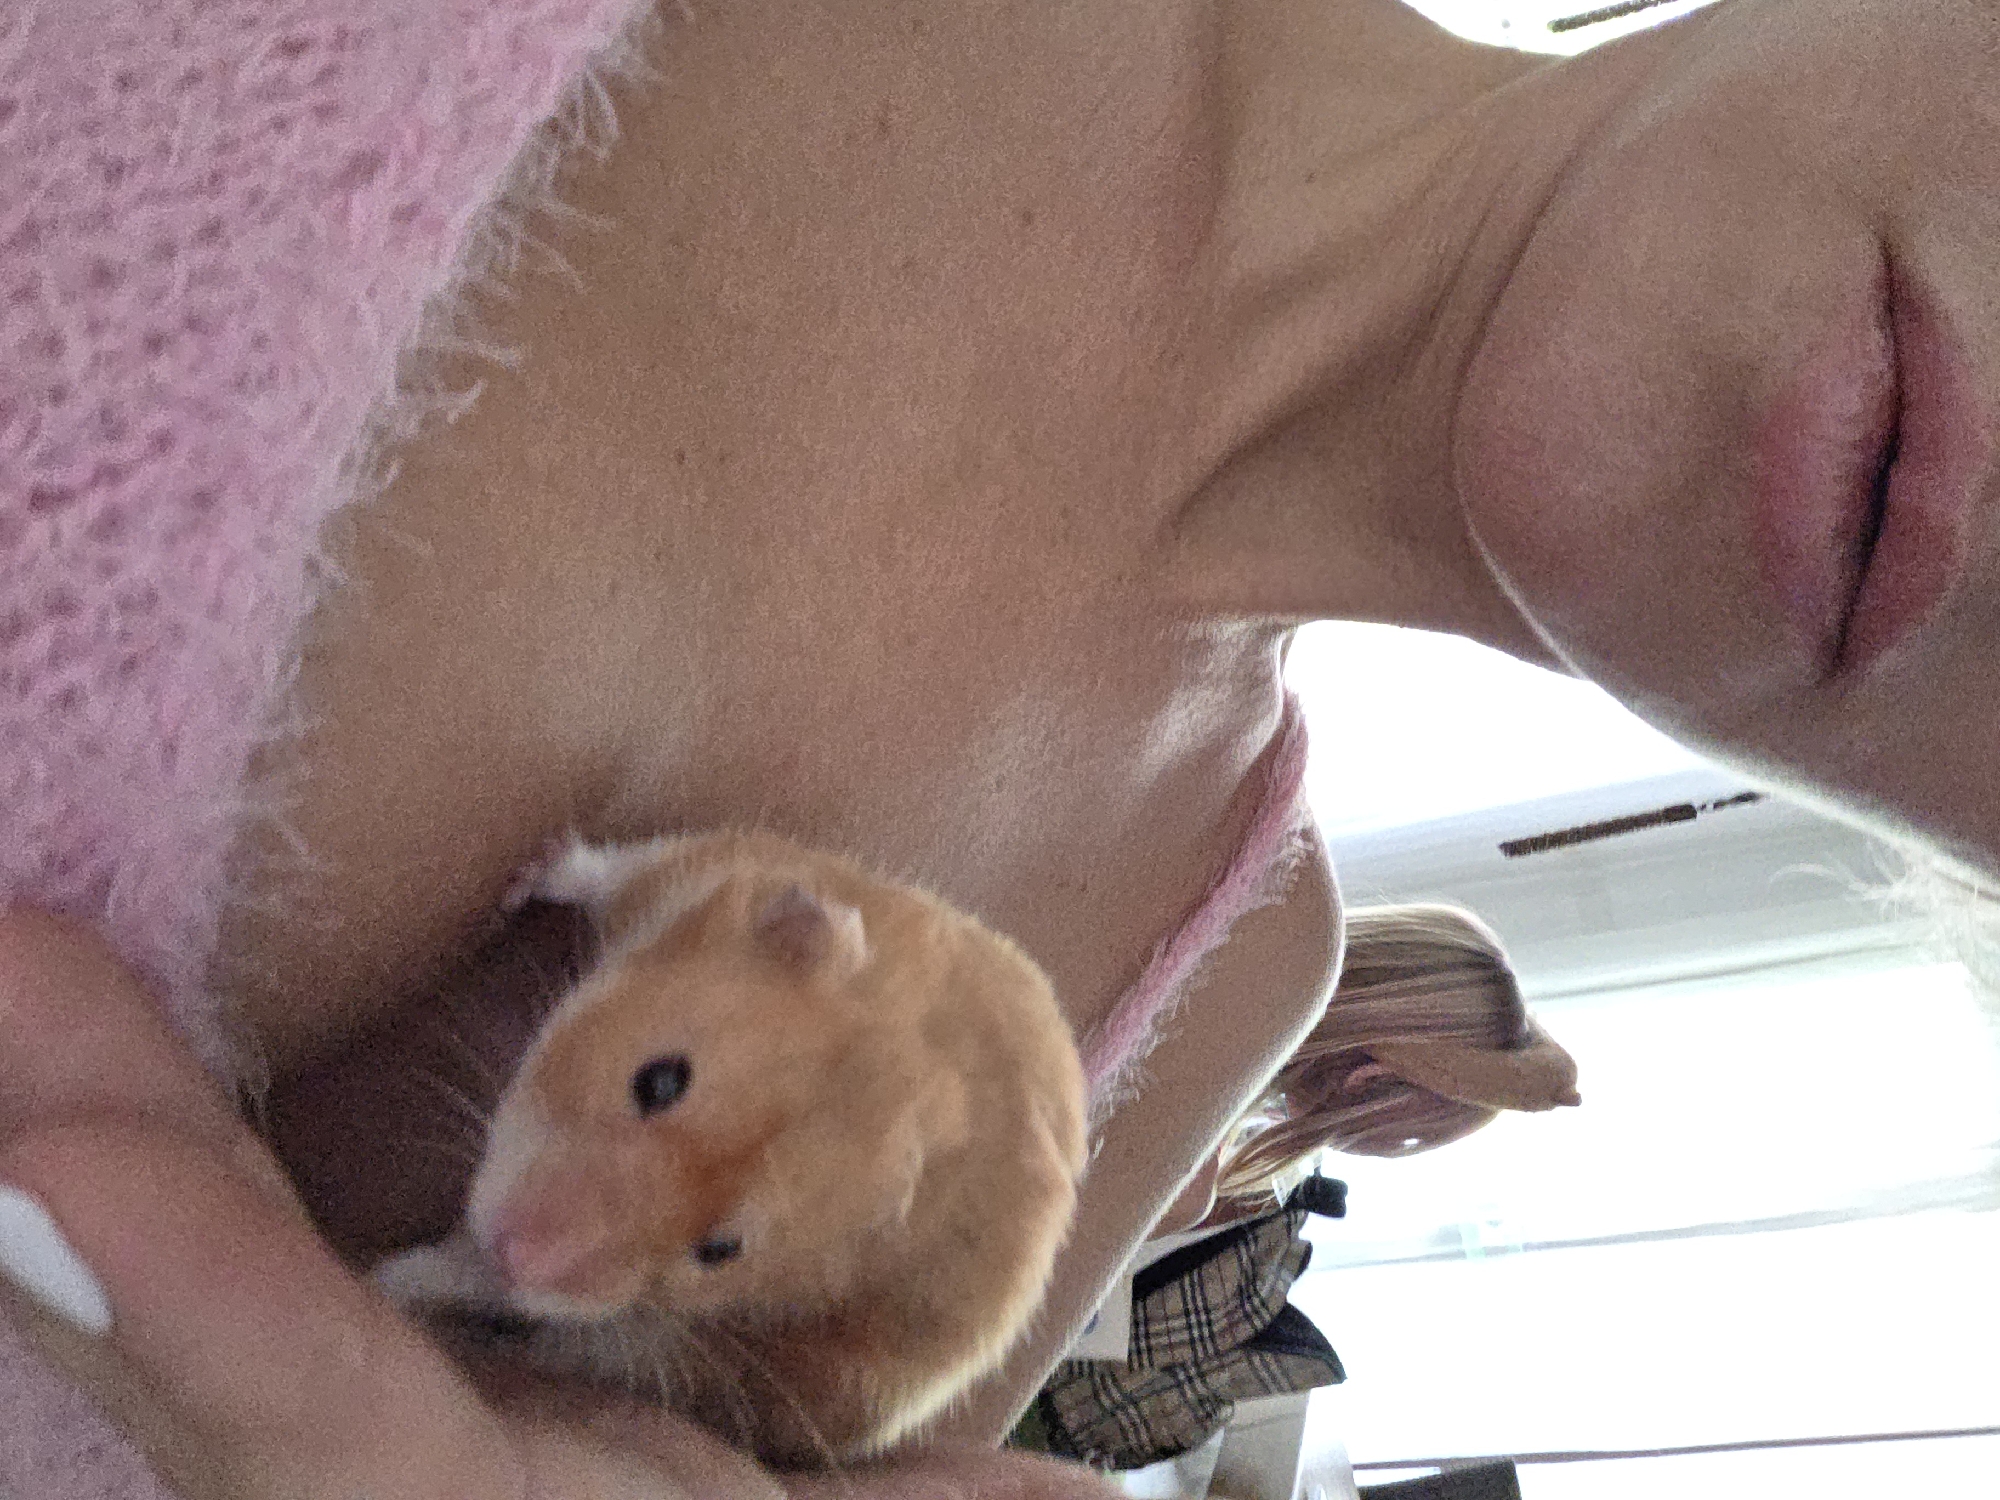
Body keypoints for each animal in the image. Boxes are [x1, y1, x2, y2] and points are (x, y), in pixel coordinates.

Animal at [377, 830, 1089, 1468]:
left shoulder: (629, 1313)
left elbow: (487, 1283)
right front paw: (527, 877)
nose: (516, 1251)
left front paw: (387, 1275)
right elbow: (607, 872)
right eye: (660, 1081)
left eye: (720, 1250)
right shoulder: (711, 869)